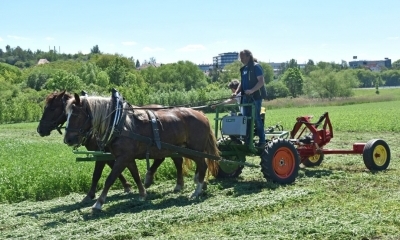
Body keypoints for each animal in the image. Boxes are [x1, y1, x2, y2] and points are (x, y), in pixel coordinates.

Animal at [36, 91, 190, 202]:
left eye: (52, 108)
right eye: (66, 113)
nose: (40, 129)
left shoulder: (102, 153)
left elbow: (97, 174)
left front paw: (91, 195)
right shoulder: (108, 152)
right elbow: (118, 168)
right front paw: (129, 186)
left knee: (174, 159)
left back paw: (171, 183)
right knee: (170, 159)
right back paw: (156, 180)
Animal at [63, 94, 219, 210]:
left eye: (76, 115)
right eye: (67, 115)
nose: (67, 139)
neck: (118, 123)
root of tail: (201, 114)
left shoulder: (122, 157)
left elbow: (110, 179)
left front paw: (98, 204)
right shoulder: (127, 157)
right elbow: (135, 175)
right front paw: (142, 194)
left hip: (194, 149)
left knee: (202, 164)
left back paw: (197, 190)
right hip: (185, 149)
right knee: (194, 163)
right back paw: (198, 184)